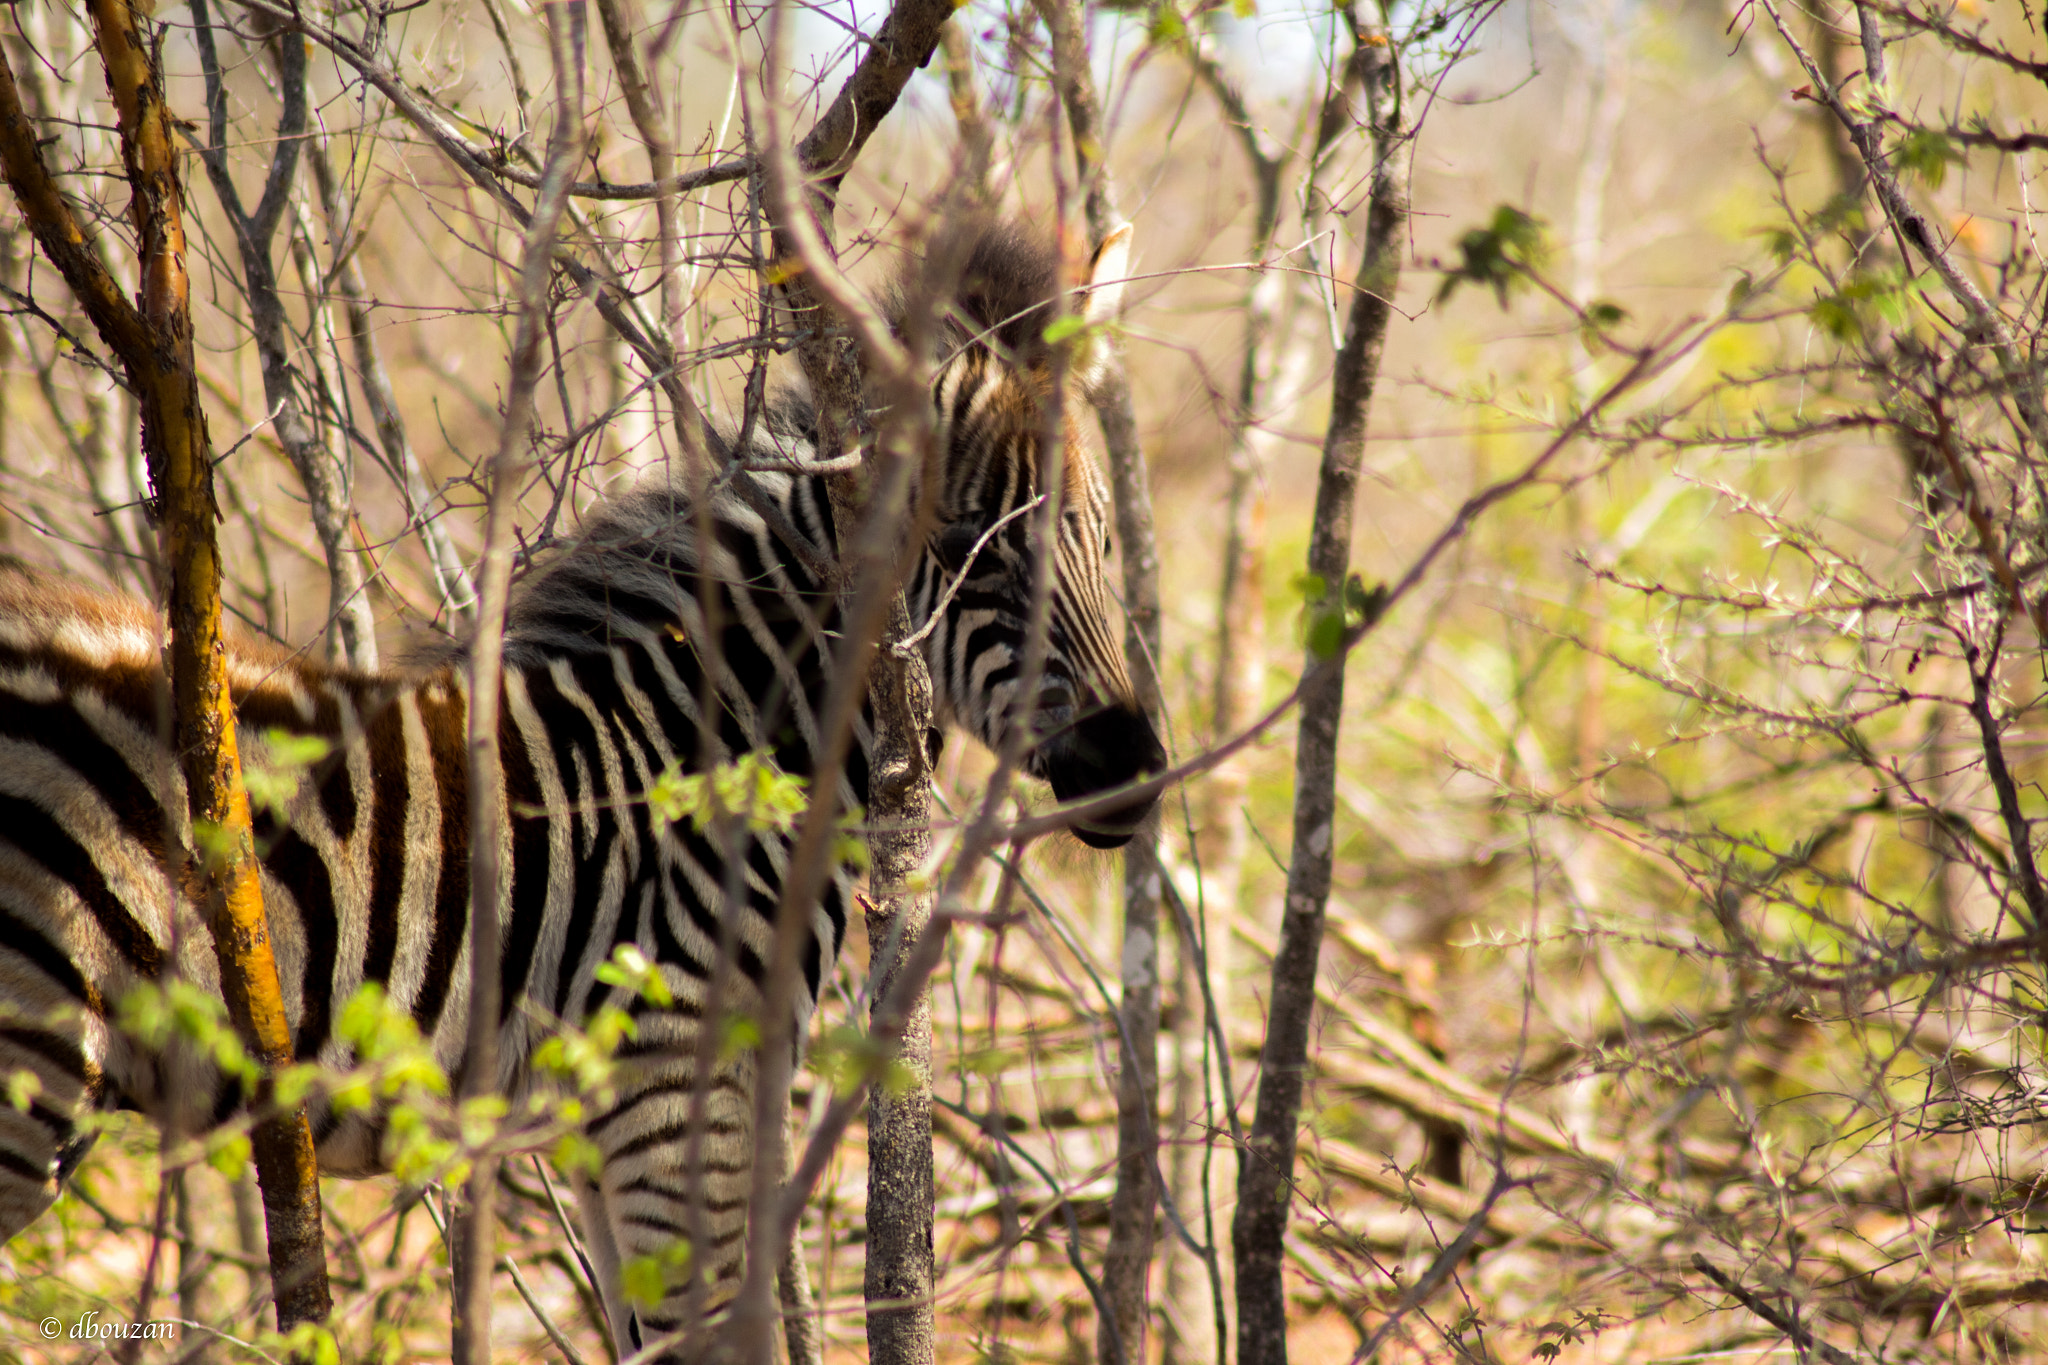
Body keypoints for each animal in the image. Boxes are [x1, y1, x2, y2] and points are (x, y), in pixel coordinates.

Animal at [0, 218, 1166, 1353]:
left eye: (1106, 534)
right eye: (970, 548)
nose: (1134, 772)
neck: (702, 746)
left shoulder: (620, 1122)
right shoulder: (672, 1083)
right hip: (33, 1054)